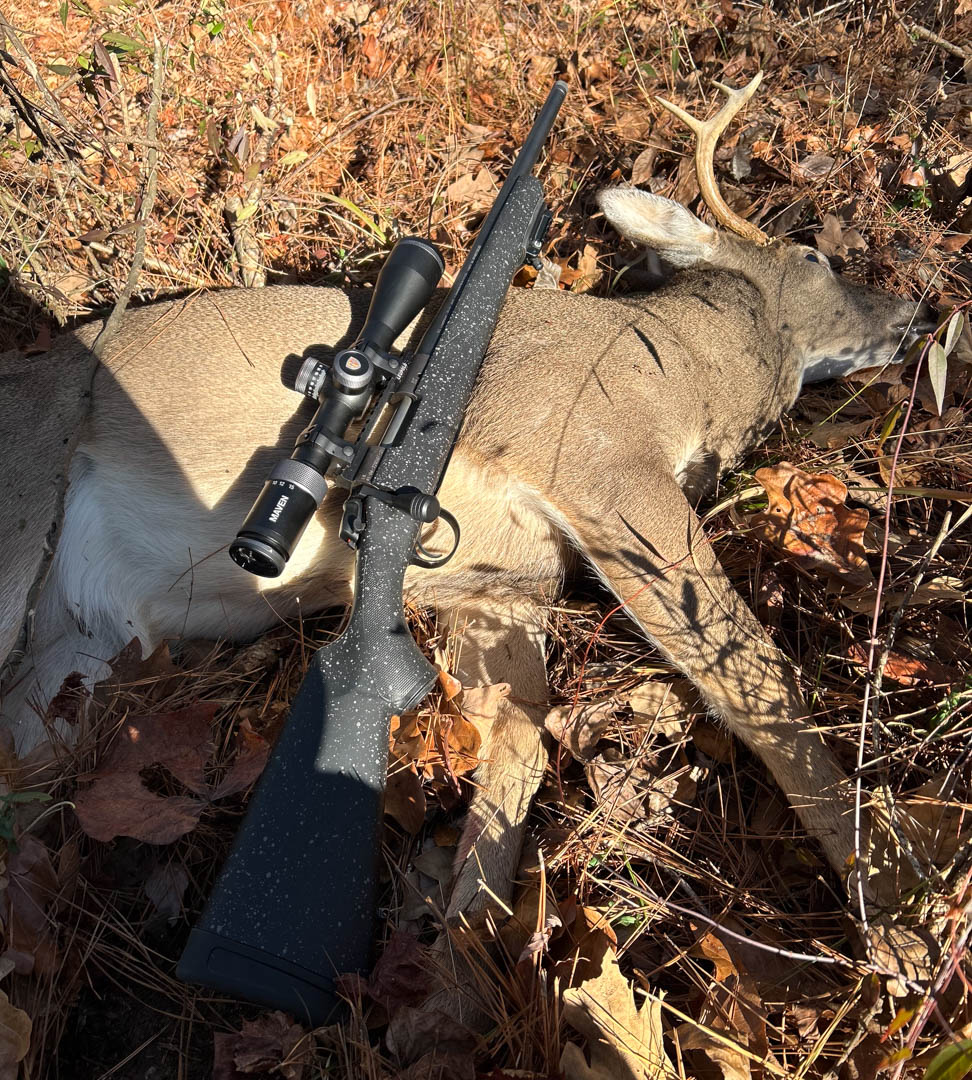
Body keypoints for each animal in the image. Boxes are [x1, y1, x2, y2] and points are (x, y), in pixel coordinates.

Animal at [0, 75, 935, 1007]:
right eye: (813, 259)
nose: (917, 312)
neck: (690, 374)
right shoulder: (600, 460)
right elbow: (757, 682)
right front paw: (903, 916)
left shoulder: (511, 580)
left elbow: (521, 737)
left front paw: (467, 946)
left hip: (72, 655)